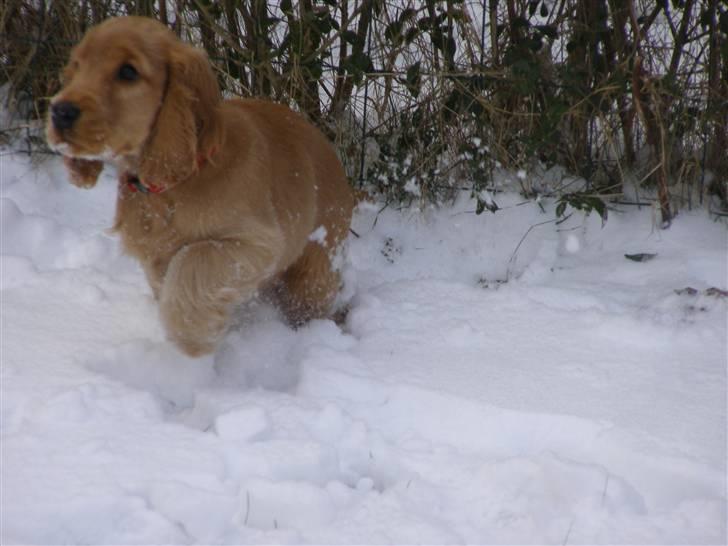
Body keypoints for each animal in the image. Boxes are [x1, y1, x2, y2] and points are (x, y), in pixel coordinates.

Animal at [46, 14, 356, 354]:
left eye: (128, 72)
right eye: (77, 67)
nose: (60, 111)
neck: (174, 183)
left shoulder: (257, 242)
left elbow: (191, 260)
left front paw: (190, 339)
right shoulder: (155, 256)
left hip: (315, 268)